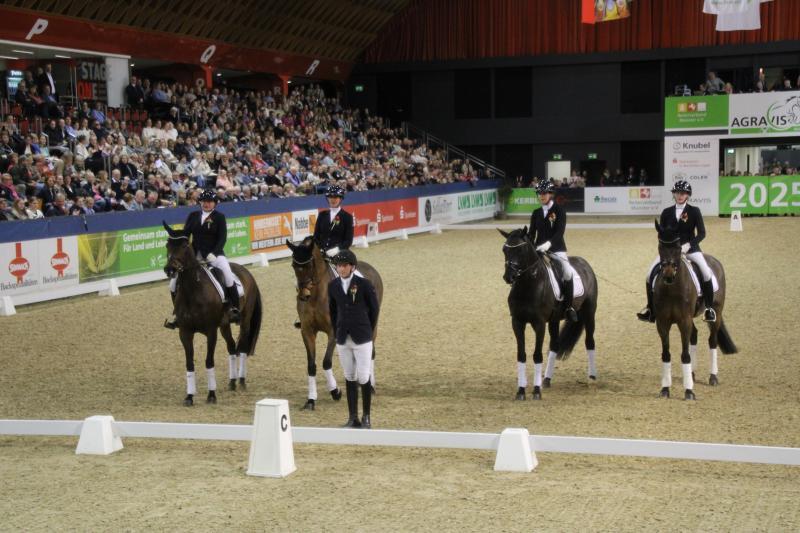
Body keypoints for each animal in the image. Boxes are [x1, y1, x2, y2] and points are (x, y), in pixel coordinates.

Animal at [164, 222, 264, 406]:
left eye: (184, 245)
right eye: (168, 245)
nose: (170, 270)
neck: (193, 291)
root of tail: (246, 272)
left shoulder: (211, 331)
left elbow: (209, 361)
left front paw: (211, 395)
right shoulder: (185, 332)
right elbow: (189, 363)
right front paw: (189, 396)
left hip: (245, 321)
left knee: (242, 346)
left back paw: (241, 381)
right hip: (224, 325)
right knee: (231, 347)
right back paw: (232, 382)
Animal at [288, 235, 384, 410]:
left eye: (309, 265)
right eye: (293, 265)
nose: (304, 295)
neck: (316, 296)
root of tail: (371, 268)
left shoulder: (333, 332)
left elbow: (326, 362)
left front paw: (335, 392)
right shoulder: (307, 332)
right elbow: (311, 365)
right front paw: (311, 400)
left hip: (371, 325)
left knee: (370, 352)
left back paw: (371, 386)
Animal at [496, 228, 596, 400]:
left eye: (521, 250)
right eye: (504, 250)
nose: (509, 277)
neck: (527, 286)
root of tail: (584, 263)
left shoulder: (539, 324)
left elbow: (537, 355)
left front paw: (536, 391)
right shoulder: (517, 322)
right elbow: (521, 355)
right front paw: (521, 390)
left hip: (589, 313)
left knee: (589, 342)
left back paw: (592, 379)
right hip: (554, 320)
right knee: (554, 345)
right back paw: (547, 380)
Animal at [648, 220, 736, 400]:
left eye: (677, 247)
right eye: (660, 245)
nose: (668, 275)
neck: (672, 288)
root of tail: (714, 260)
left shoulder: (684, 321)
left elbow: (685, 354)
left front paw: (689, 391)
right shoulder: (662, 323)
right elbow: (666, 354)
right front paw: (665, 389)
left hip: (716, 313)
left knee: (712, 341)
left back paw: (713, 377)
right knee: (694, 335)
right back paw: (693, 374)